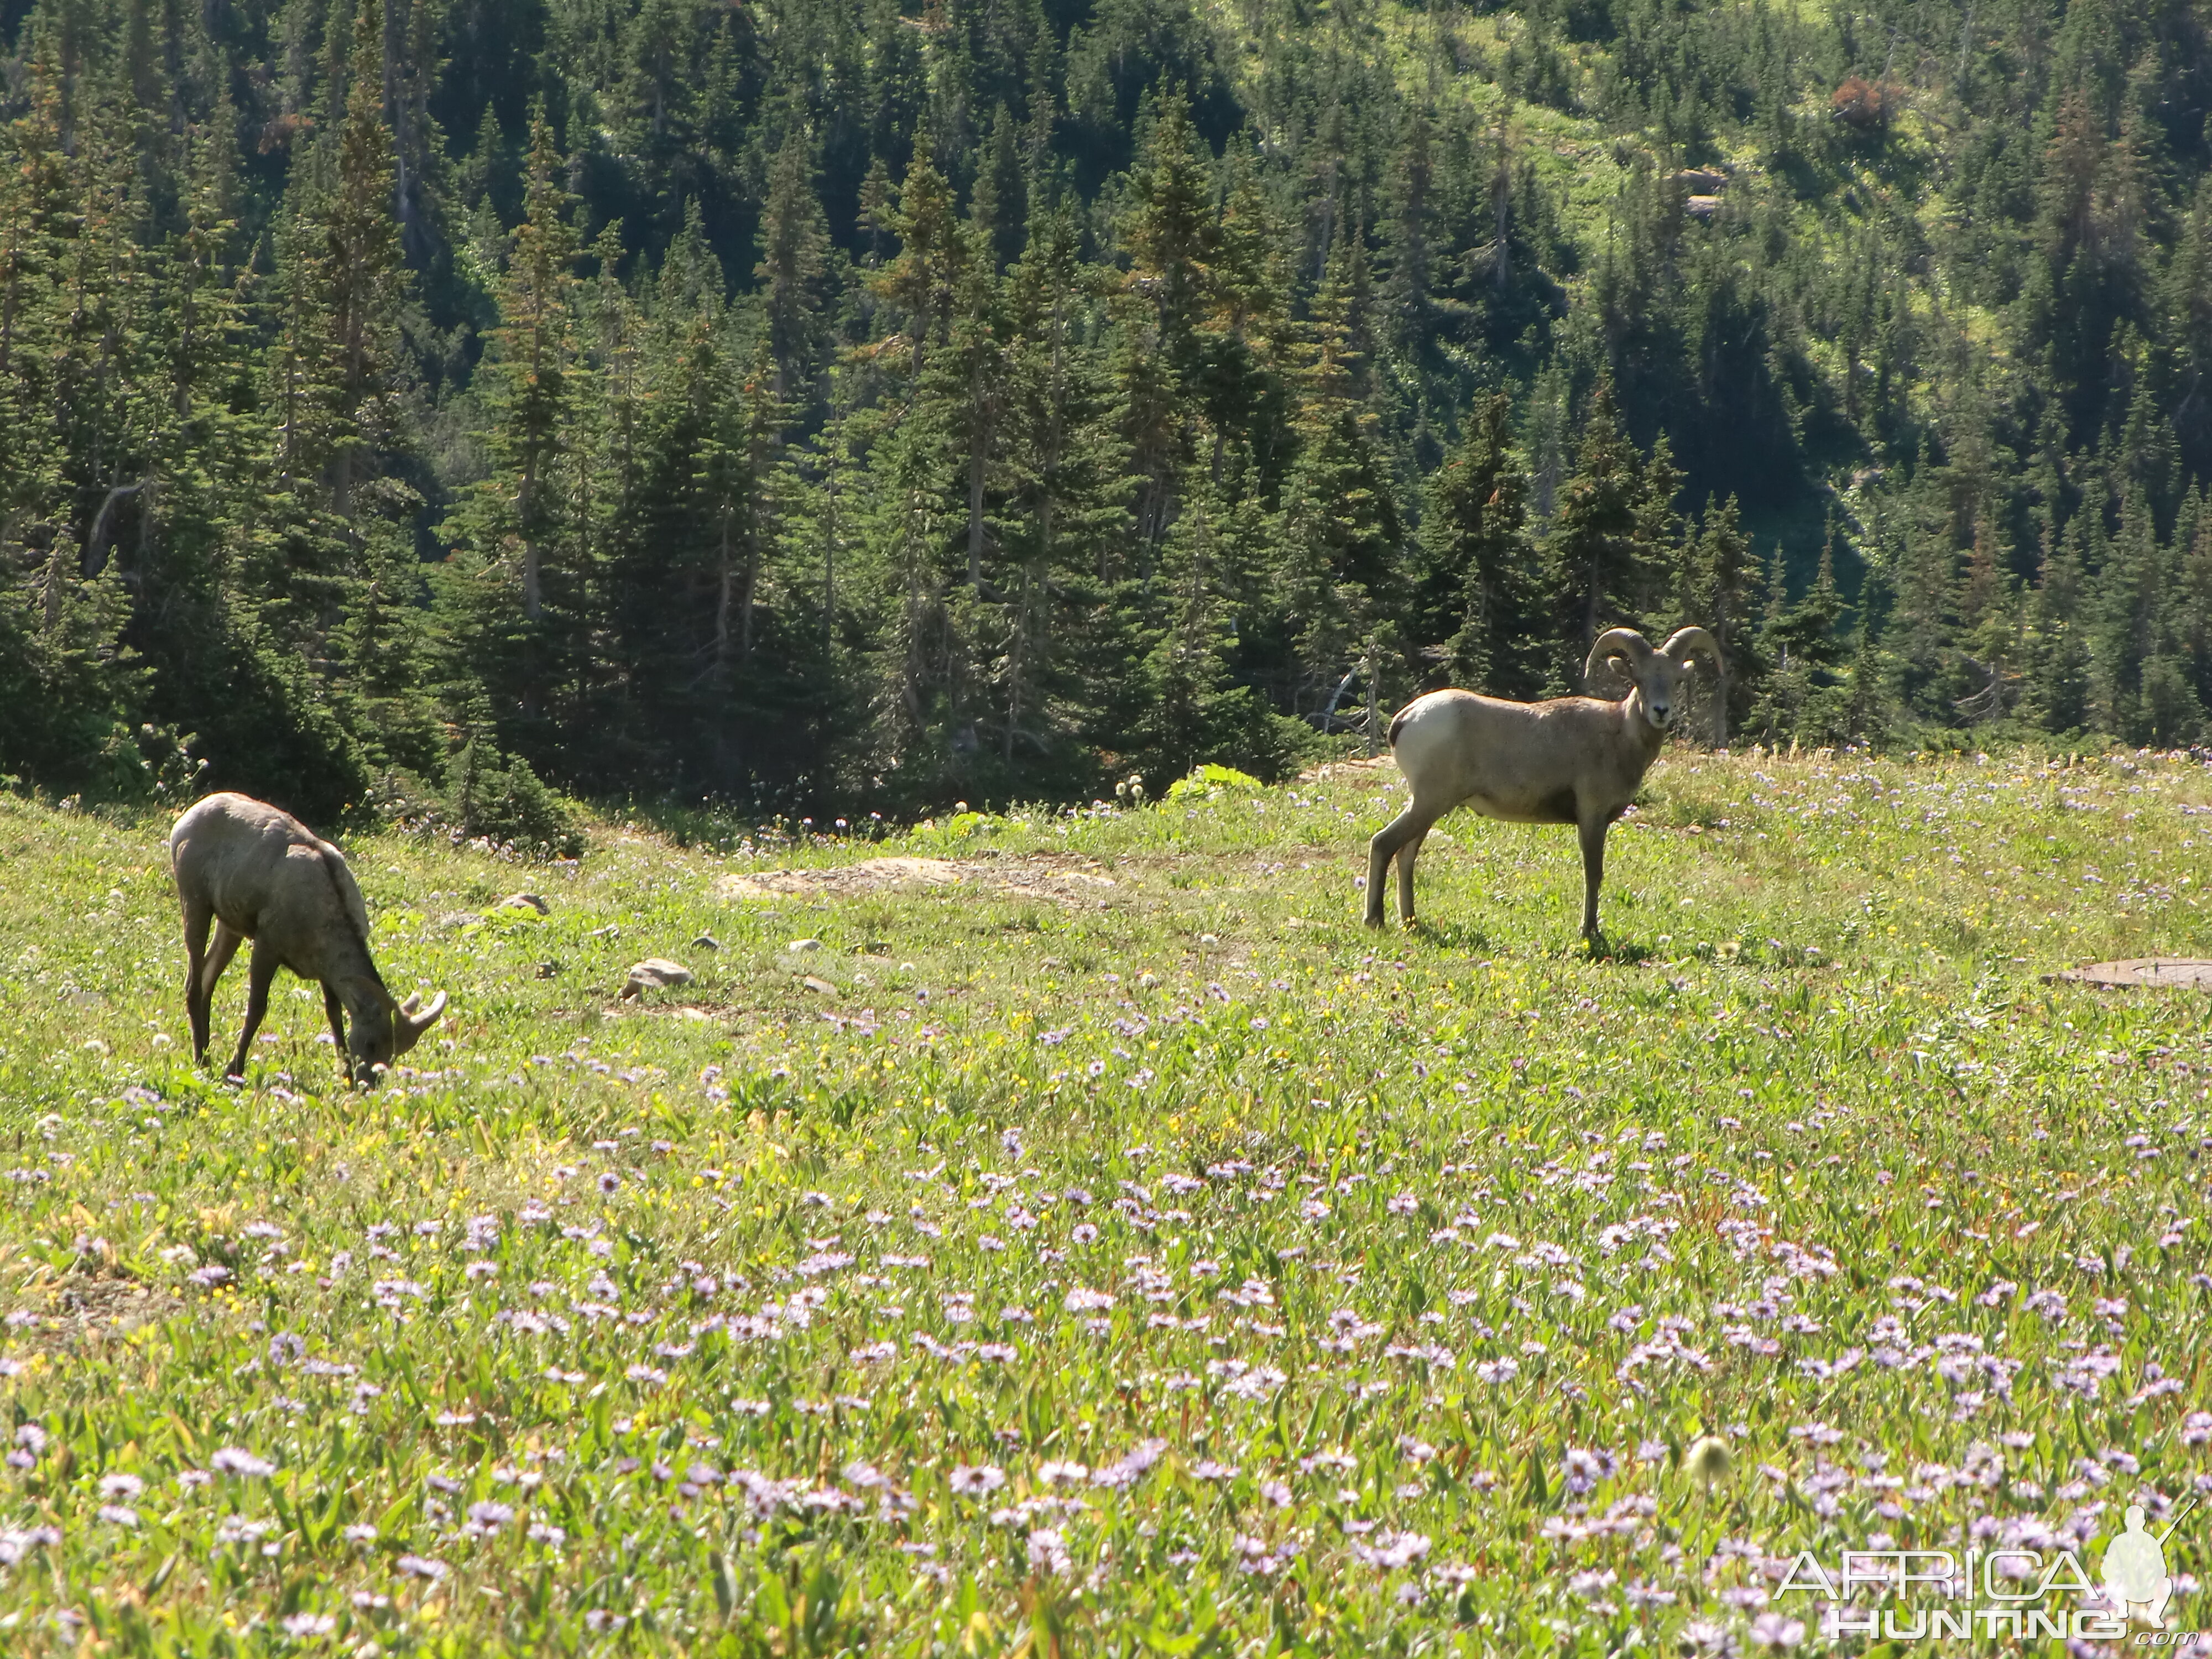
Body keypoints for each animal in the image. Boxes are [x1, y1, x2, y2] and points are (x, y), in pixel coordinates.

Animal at [167, 796, 445, 1084]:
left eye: (397, 1051)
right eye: (371, 1043)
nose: (369, 1083)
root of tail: (189, 816)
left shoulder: (326, 972)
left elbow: (334, 1016)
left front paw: (346, 1078)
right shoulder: (267, 946)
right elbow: (257, 1009)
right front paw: (234, 1072)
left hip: (230, 926)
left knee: (208, 979)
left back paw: (205, 1057)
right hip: (196, 903)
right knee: (194, 983)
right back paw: (203, 1061)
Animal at [1363, 628, 1725, 947]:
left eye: (1676, 681)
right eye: (1640, 679)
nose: (1661, 712)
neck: (1619, 735)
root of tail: (1408, 718)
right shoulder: (1591, 816)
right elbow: (1593, 873)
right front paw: (1589, 932)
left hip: (1429, 806)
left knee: (1406, 853)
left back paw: (1411, 922)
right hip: (1430, 802)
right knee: (1384, 843)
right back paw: (1375, 921)